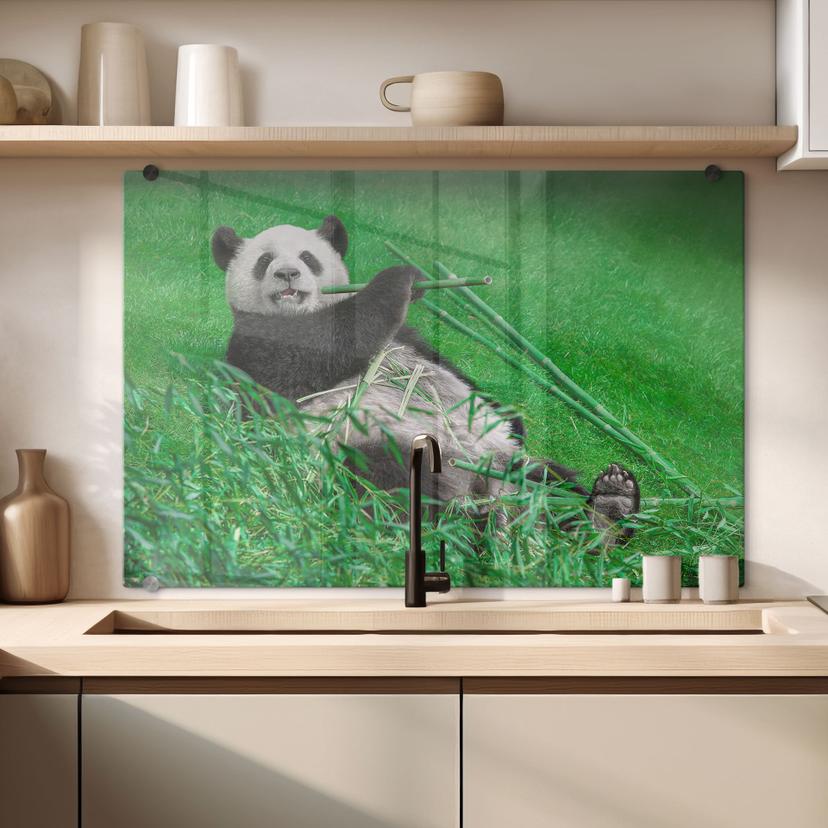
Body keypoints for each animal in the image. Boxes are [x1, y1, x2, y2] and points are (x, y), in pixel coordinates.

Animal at [211, 214, 640, 546]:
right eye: (265, 260)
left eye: (307, 258)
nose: (287, 274)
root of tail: (479, 490)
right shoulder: (258, 345)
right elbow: (313, 356)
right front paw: (401, 279)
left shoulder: (411, 340)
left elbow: (456, 375)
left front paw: (516, 421)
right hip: (370, 442)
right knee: (391, 483)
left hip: (503, 460)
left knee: (551, 483)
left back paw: (608, 510)